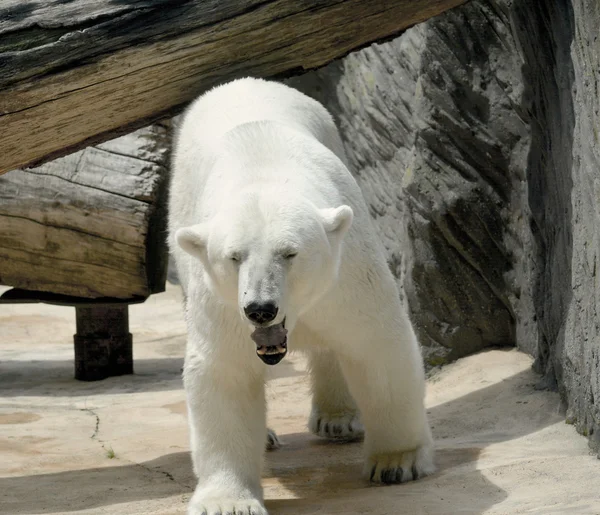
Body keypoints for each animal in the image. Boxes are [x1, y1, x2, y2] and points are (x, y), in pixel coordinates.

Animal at [166, 77, 434, 515]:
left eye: (289, 253)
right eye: (234, 257)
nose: (260, 309)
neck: (262, 167)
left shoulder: (346, 271)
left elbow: (375, 343)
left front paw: (398, 461)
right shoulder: (221, 305)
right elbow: (225, 371)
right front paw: (228, 502)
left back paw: (338, 418)